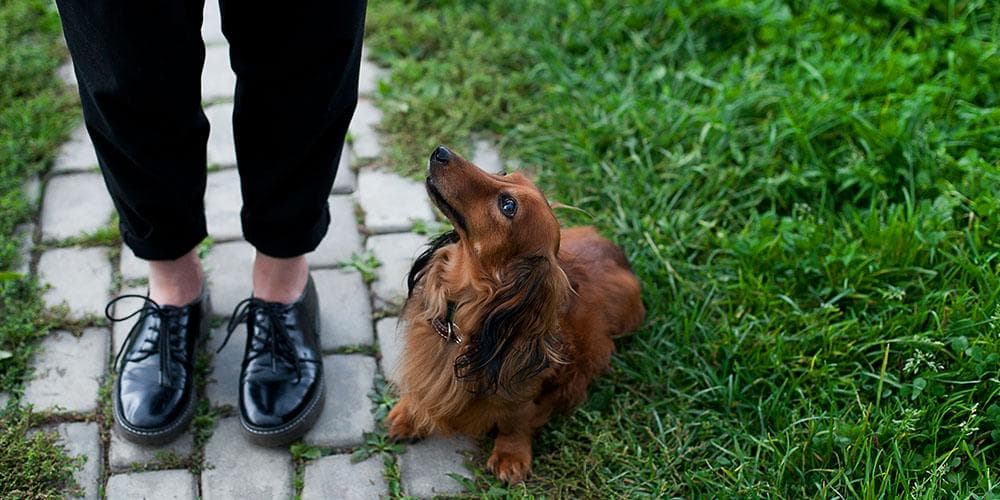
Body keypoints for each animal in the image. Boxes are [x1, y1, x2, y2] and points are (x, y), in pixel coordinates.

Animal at [386, 146, 644, 482]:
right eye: (505, 173)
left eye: (508, 206)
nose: (440, 151)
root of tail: (618, 253)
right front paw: (410, 413)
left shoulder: (524, 391)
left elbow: (515, 419)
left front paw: (511, 455)